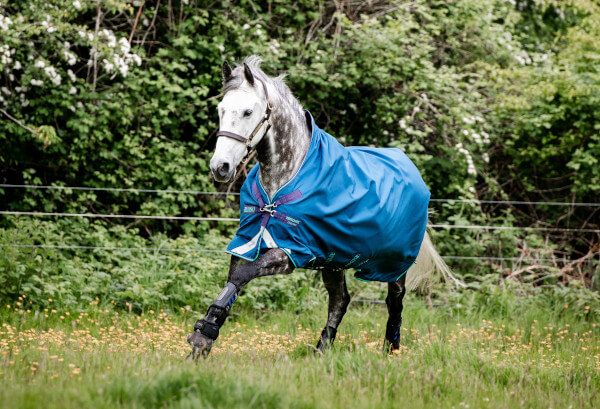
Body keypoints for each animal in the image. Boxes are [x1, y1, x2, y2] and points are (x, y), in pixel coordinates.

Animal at [188, 55, 460, 356]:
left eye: (248, 112)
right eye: (221, 110)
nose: (220, 167)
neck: (283, 181)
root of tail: (412, 170)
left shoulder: (292, 251)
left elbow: (244, 275)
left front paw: (202, 336)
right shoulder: (247, 243)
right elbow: (234, 280)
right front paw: (203, 339)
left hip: (395, 263)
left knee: (395, 301)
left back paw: (391, 349)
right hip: (334, 261)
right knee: (340, 300)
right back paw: (322, 350)